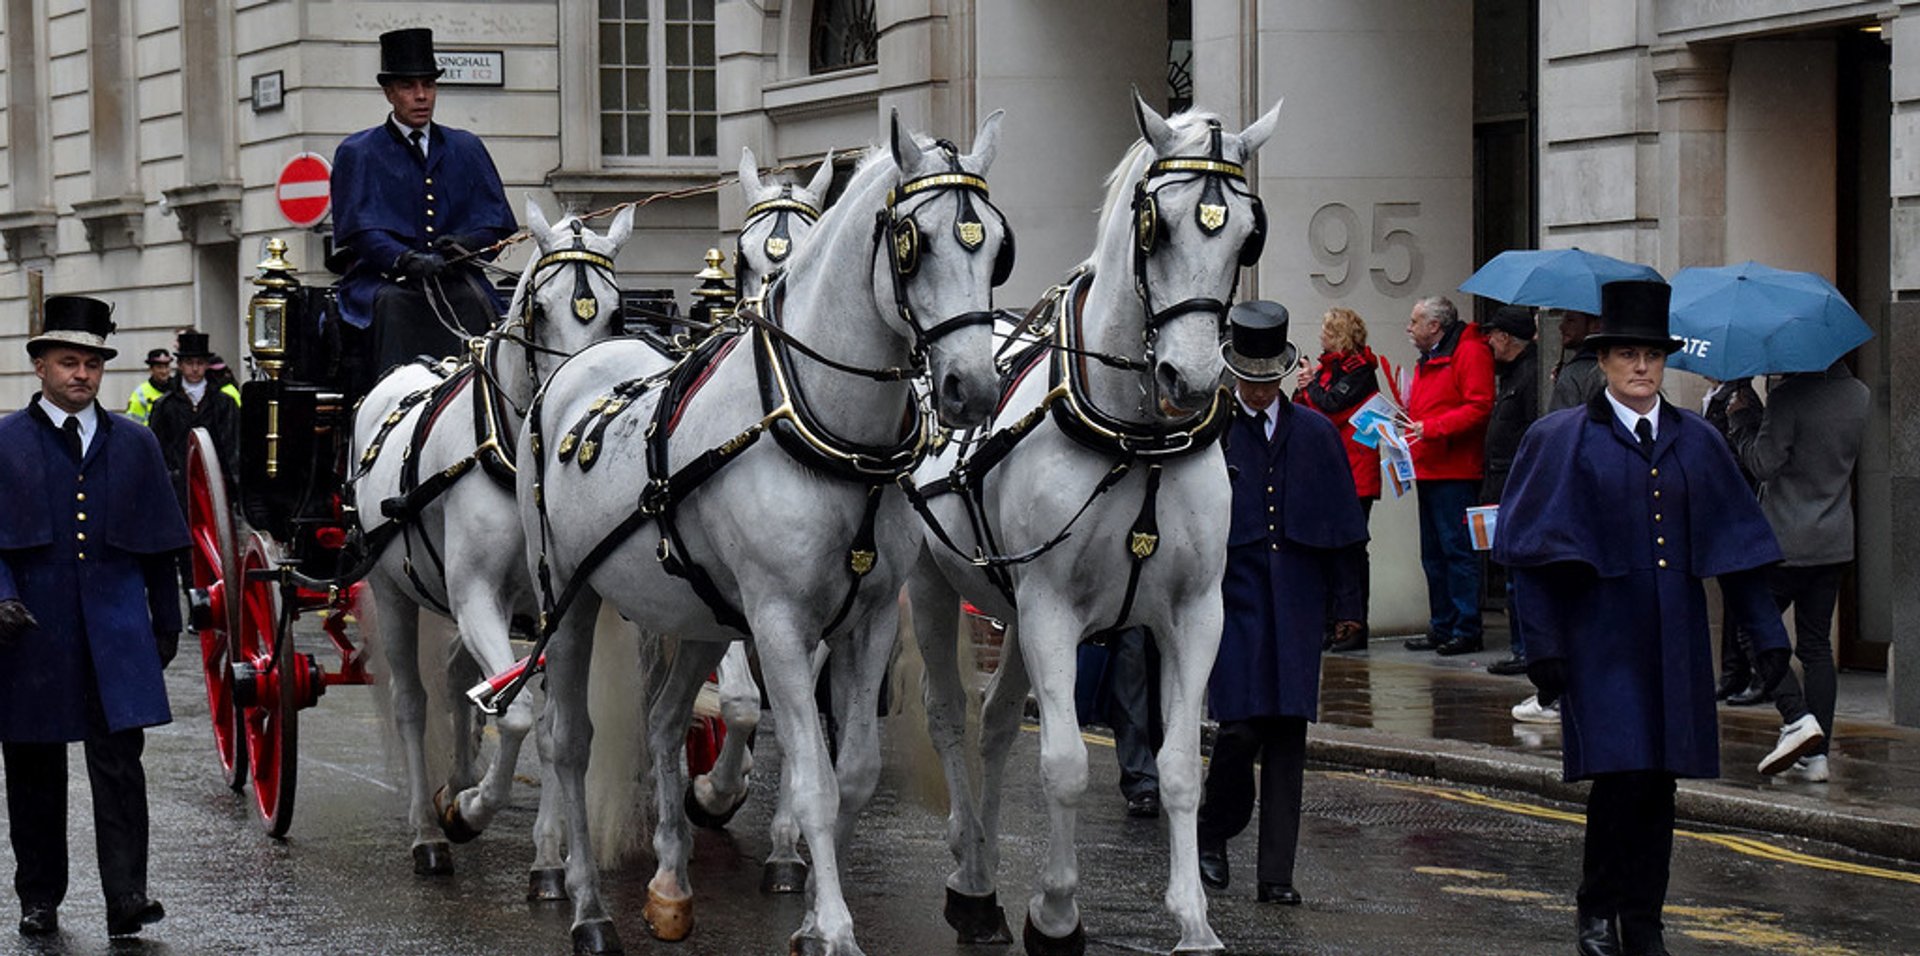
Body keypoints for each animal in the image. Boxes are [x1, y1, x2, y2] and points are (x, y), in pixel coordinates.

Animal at [349, 199, 633, 894]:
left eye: (617, 314)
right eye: (539, 310)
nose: (575, 400)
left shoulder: (557, 606)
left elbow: (551, 728)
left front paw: (549, 859)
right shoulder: (475, 594)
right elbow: (519, 715)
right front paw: (470, 812)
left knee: (458, 680)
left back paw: (456, 781)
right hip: (393, 592)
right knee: (412, 702)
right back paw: (429, 830)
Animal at [518, 113, 1013, 956]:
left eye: (995, 248)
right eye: (911, 242)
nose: (972, 388)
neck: (826, 429)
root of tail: (580, 366)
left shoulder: (865, 619)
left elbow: (853, 772)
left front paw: (812, 911)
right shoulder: (779, 620)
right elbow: (811, 776)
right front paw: (836, 927)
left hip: (693, 614)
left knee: (662, 719)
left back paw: (671, 885)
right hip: (568, 597)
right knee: (567, 739)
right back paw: (583, 902)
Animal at [906, 91, 1282, 956]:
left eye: (1248, 233)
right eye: (1157, 225)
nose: (1191, 379)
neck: (1136, 436)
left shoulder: (1195, 612)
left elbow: (1177, 767)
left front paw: (1193, 921)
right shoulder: (1051, 607)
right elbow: (1067, 763)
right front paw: (1056, 912)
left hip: (1007, 603)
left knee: (996, 723)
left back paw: (983, 881)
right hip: (933, 584)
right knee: (949, 716)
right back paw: (969, 872)